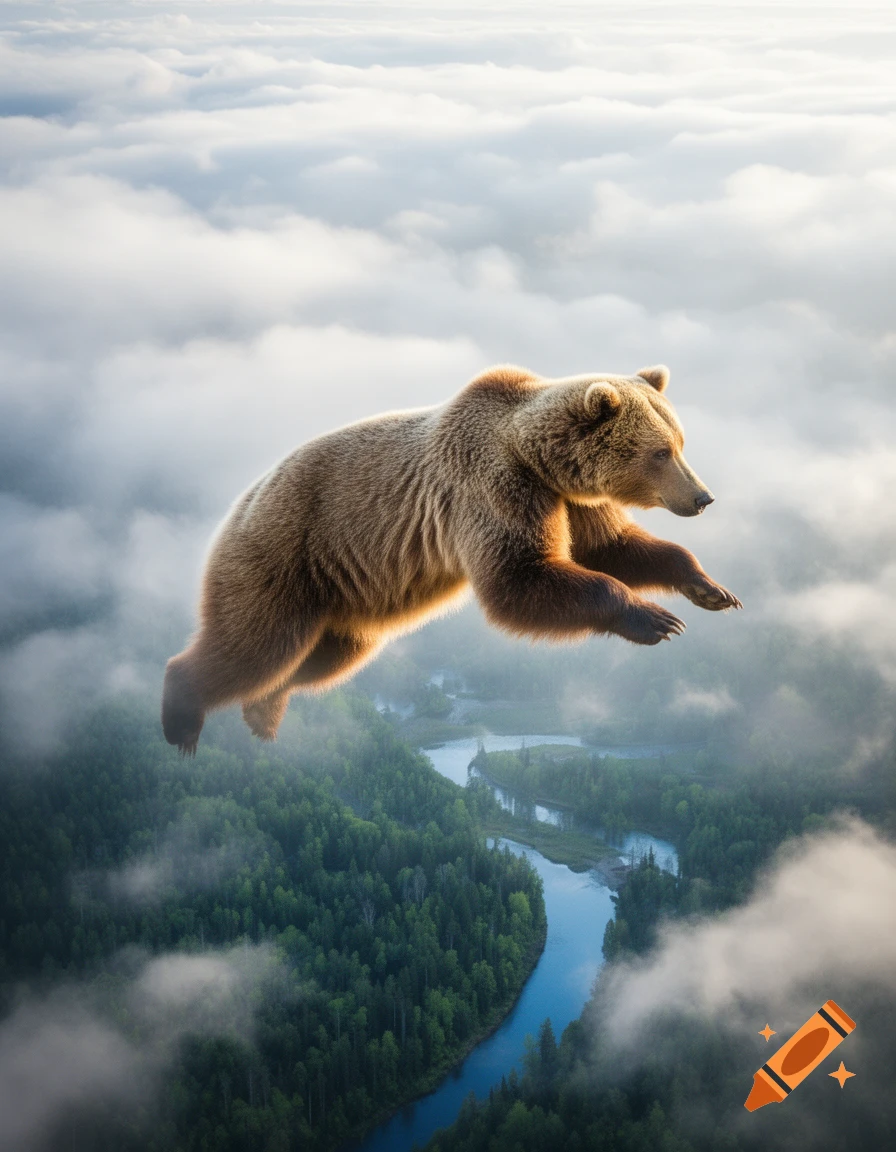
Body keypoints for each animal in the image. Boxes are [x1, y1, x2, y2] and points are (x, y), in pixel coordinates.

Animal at [162, 364, 740, 755]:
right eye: (660, 452)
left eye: (680, 442)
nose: (703, 497)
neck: (538, 460)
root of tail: (237, 506)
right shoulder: (493, 488)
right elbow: (521, 579)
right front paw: (656, 620)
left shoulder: (573, 502)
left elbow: (614, 548)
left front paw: (711, 589)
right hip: (282, 558)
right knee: (256, 646)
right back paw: (182, 717)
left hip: (342, 603)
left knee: (320, 660)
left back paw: (262, 713)